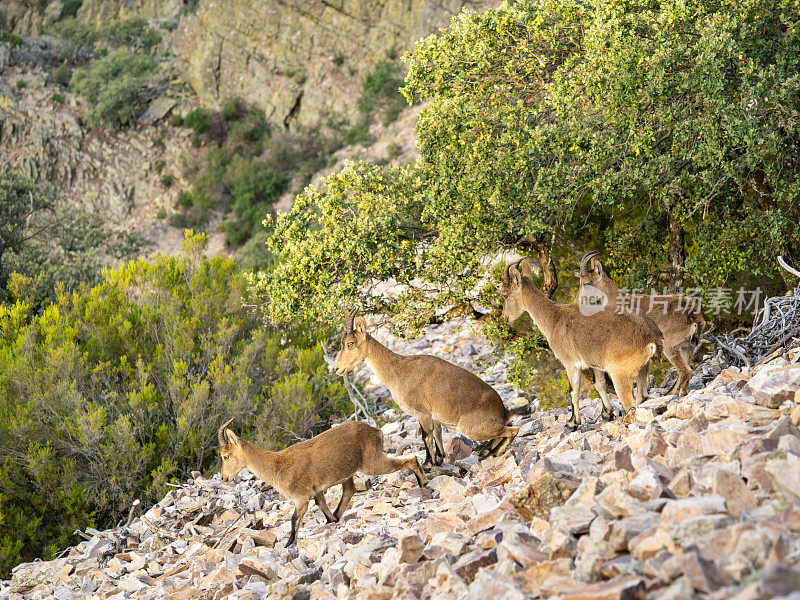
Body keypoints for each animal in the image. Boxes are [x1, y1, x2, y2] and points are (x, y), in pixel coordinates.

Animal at [216, 420, 422, 548]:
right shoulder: (316, 491)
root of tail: (376, 431)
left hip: (372, 464)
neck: (277, 465)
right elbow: (322, 505)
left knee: (410, 459)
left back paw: (423, 483)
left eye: (226, 456)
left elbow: (294, 520)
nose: (224, 478)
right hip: (347, 471)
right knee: (349, 490)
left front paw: (289, 545)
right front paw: (332, 520)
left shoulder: (301, 497)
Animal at [332, 310, 516, 464]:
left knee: (513, 430)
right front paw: (439, 459)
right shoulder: (434, 417)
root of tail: (503, 411)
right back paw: (487, 451)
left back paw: (493, 452)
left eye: (350, 343)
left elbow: (425, 437)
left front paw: (428, 464)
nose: (337, 368)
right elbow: (437, 434)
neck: (399, 370)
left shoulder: (422, 413)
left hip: (469, 428)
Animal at [500, 258, 664, 426]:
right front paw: (607, 413)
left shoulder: (570, 363)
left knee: (629, 405)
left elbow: (573, 390)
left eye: (505, 295)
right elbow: (598, 384)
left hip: (620, 373)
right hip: (642, 368)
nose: (504, 317)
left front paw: (572, 422)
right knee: (642, 396)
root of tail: (651, 338)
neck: (553, 318)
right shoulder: (596, 363)